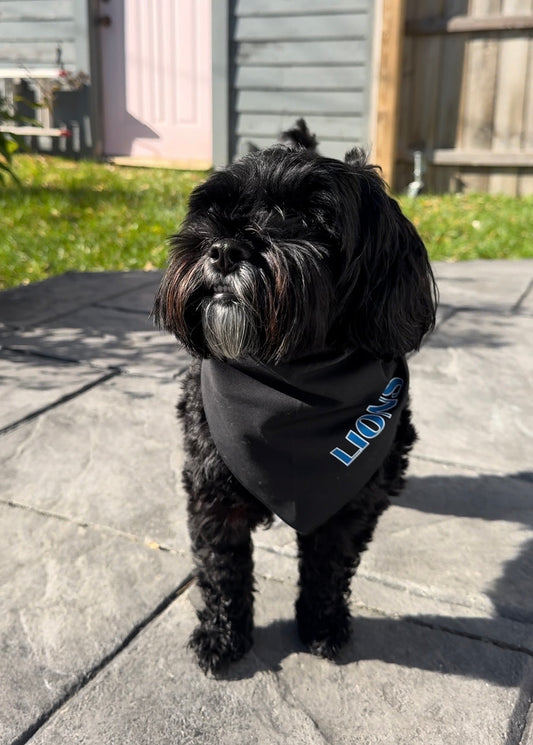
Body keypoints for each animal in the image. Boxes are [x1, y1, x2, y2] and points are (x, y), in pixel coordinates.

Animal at [153, 120, 436, 676]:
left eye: (309, 218)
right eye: (216, 211)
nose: (224, 249)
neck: (288, 377)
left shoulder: (349, 507)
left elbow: (330, 567)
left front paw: (321, 626)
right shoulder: (213, 492)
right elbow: (221, 569)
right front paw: (224, 637)